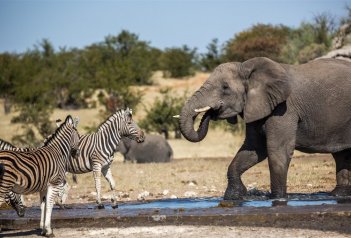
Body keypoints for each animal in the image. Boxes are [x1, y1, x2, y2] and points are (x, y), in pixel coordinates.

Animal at [180, 56, 351, 200]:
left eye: (225, 87)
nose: (211, 112)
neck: (247, 68)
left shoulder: (284, 108)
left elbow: (277, 149)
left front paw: (277, 198)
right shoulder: (256, 105)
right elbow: (254, 148)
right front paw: (234, 196)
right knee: (342, 154)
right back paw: (338, 195)